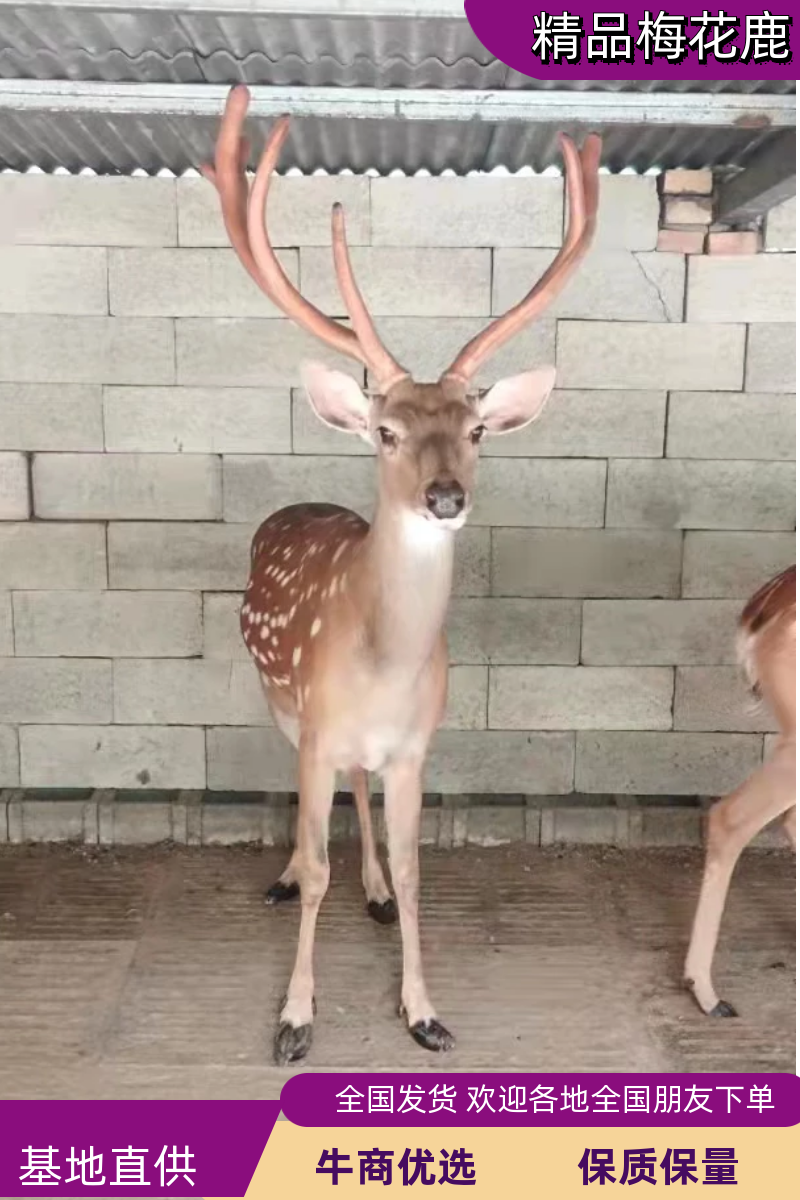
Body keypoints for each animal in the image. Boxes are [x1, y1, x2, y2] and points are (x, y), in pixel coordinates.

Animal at [201, 84, 601, 1064]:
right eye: (385, 431)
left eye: (479, 428)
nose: (446, 495)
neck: (381, 668)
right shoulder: (313, 729)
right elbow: (316, 868)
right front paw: (294, 1021)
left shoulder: (419, 747)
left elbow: (421, 871)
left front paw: (424, 1011)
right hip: (275, 696)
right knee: (308, 807)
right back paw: (284, 879)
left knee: (361, 793)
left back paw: (375, 893)